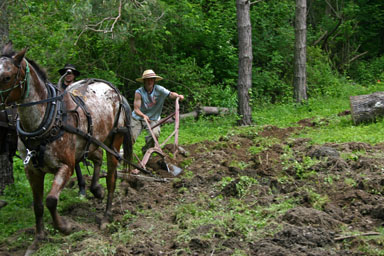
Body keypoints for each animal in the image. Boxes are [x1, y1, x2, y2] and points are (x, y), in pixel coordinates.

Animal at [0, 41, 132, 253]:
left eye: (7, 77)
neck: (46, 120)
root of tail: (113, 89)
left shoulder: (65, 166)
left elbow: (51, 200)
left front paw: (65, 227)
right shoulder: (32, 171)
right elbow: (38, 205)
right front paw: (37, 240)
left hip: (113, 141)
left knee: (111, 178)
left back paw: (106, 216)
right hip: (91, 142)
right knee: (96, 158)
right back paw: (96, 189)